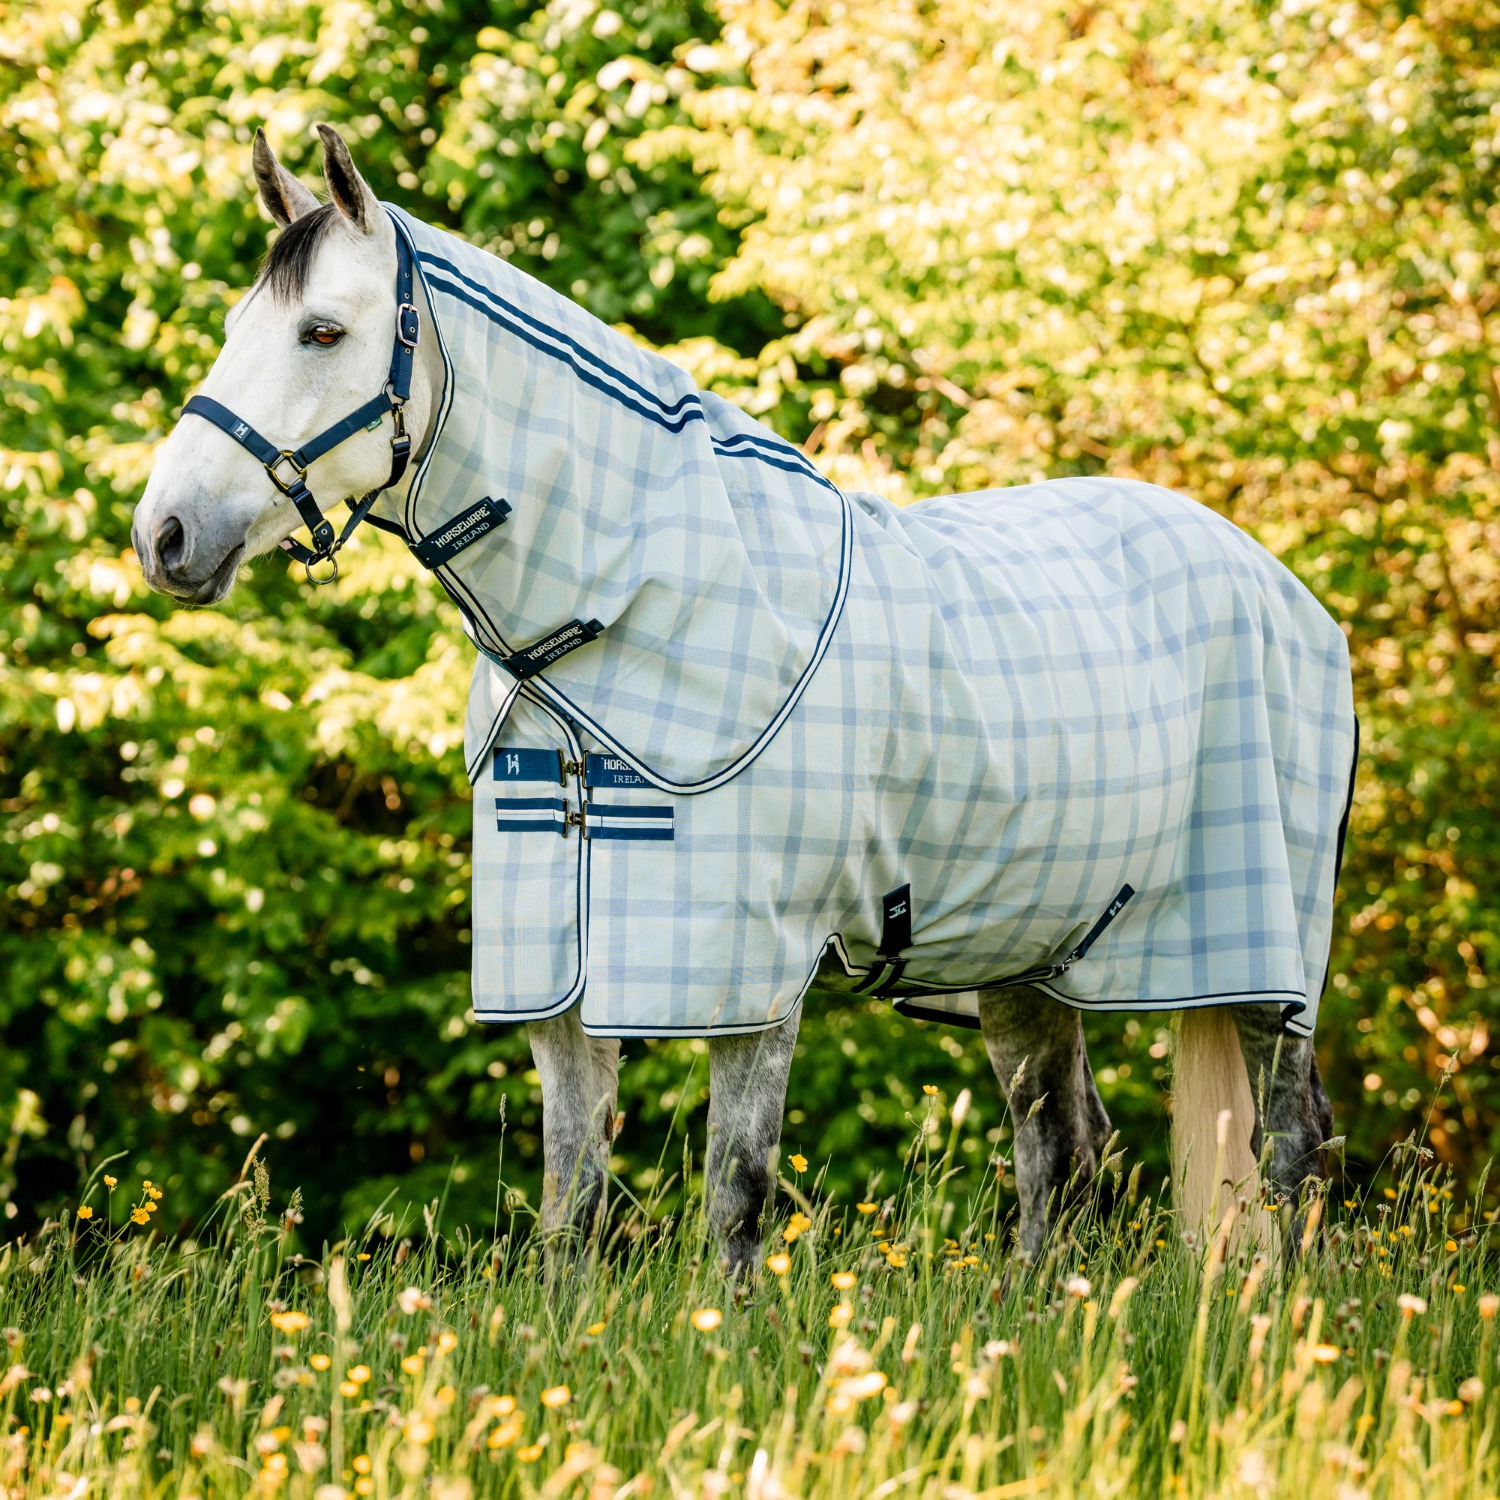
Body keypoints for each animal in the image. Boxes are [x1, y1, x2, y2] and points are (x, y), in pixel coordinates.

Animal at [133, 126, 1354, 1270]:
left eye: (322, 332)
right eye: (239, 328)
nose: (166, 535)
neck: (618, 621)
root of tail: (1284, 590)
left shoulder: (750, 976)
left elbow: (735, 1195)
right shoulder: (558, 985)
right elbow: (570, 1204)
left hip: (1266, 967)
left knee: (1288, 1150)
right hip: (1033, 957)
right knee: (1063, 1148)